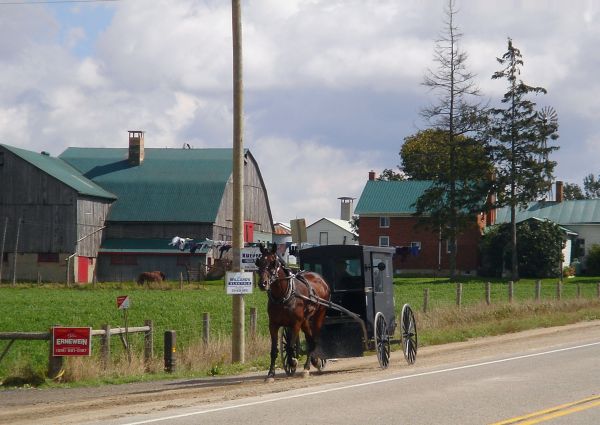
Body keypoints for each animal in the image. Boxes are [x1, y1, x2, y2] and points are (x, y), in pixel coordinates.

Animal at [253, 243, 330, 380]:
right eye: (259, 261)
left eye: (273, 263)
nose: (263, 283)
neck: (284, 296)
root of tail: (320, 278)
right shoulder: (273, 325)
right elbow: (274, 350)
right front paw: (271, 373)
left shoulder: (295, 323)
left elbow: (290, 346)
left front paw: (293, 362)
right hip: (306, 321)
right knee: (310, 341)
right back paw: (313, 362)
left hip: (318, 316)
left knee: (314, 340)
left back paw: (308, 367)